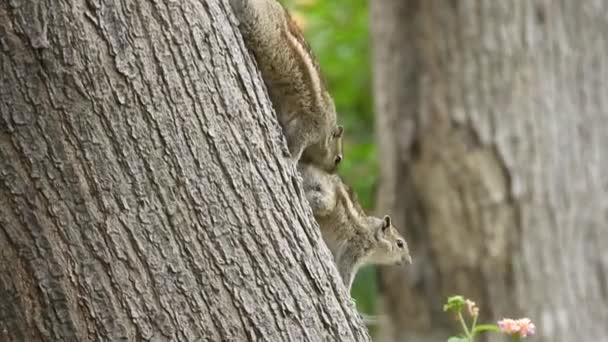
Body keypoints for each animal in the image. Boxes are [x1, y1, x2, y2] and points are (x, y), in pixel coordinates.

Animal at [229, 0, 342, 172]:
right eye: (337, 159)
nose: (331, 171)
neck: (327, 129)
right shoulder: (309, 126)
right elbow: (296, 144)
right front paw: (292, 162)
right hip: (259, 25)